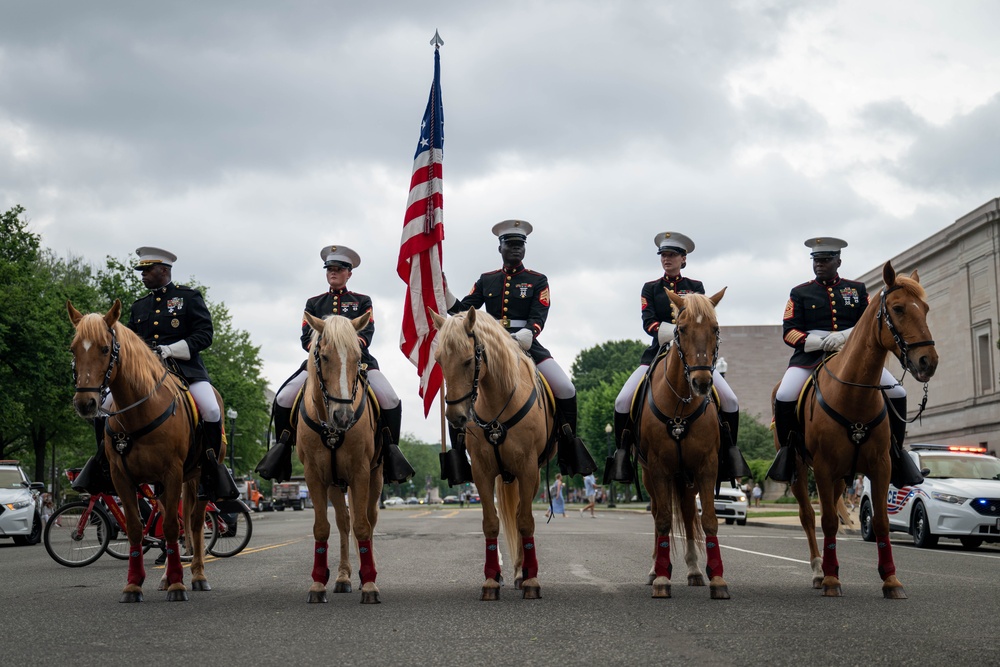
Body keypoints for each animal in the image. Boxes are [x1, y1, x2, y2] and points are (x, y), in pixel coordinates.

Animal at [68, 300, 221, 604]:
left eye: (105, 348)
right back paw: (166, 577)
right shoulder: (122, 478)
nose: (85, 403)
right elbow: (137, 529)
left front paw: (178, 585)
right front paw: (134, 584)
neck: (138, 412)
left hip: (200, 477)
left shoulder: (172, 473)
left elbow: (174, 527)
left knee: (195, 523)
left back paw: (197, 575)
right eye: (73, 348)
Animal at [296, 314, 382, 604]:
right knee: (344, 522)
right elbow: (322, 528)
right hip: (334, 482)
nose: (343, 416)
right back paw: (343, 577)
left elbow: (363, 526)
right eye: (324, 356)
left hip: (375, 478)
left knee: (368, 519)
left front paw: (370, 584)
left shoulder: (361, 472)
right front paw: (317, 584)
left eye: (358, 356)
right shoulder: (314, 475)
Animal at [430, 310, 556, 604]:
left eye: (468, 360)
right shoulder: (482, 471)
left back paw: (523, 571)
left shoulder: (527, 469)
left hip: (531, 476)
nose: (455, 417)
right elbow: (490, 523)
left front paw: (531, 579)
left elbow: (525, 522)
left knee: (522, 516)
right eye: (439, 359)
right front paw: (490, 580)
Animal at [636, 290, 732, 604]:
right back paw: (655, 568)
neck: (680, 404)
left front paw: (717, 579)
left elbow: (709, 520)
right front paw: (662, 578)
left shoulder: (706, 466)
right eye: (680, 329)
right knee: (658, 515)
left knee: (690, 514)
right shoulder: (658, 468)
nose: (701, 382)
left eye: (715, 329)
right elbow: (665, 520)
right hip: (651, 476)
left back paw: (693, 569)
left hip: (686, 477)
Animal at [776, 262, 932, 600]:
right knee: (808, 516)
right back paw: (819, 570)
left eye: (925, 309)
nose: (928, 361)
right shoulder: (822, 467)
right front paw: (831, 579)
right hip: (801, 468)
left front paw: (891, 579)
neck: (854, 394)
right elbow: (827, 521)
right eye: (898, 309)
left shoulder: (881, 465)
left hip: (839, 476)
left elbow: (881, 521)